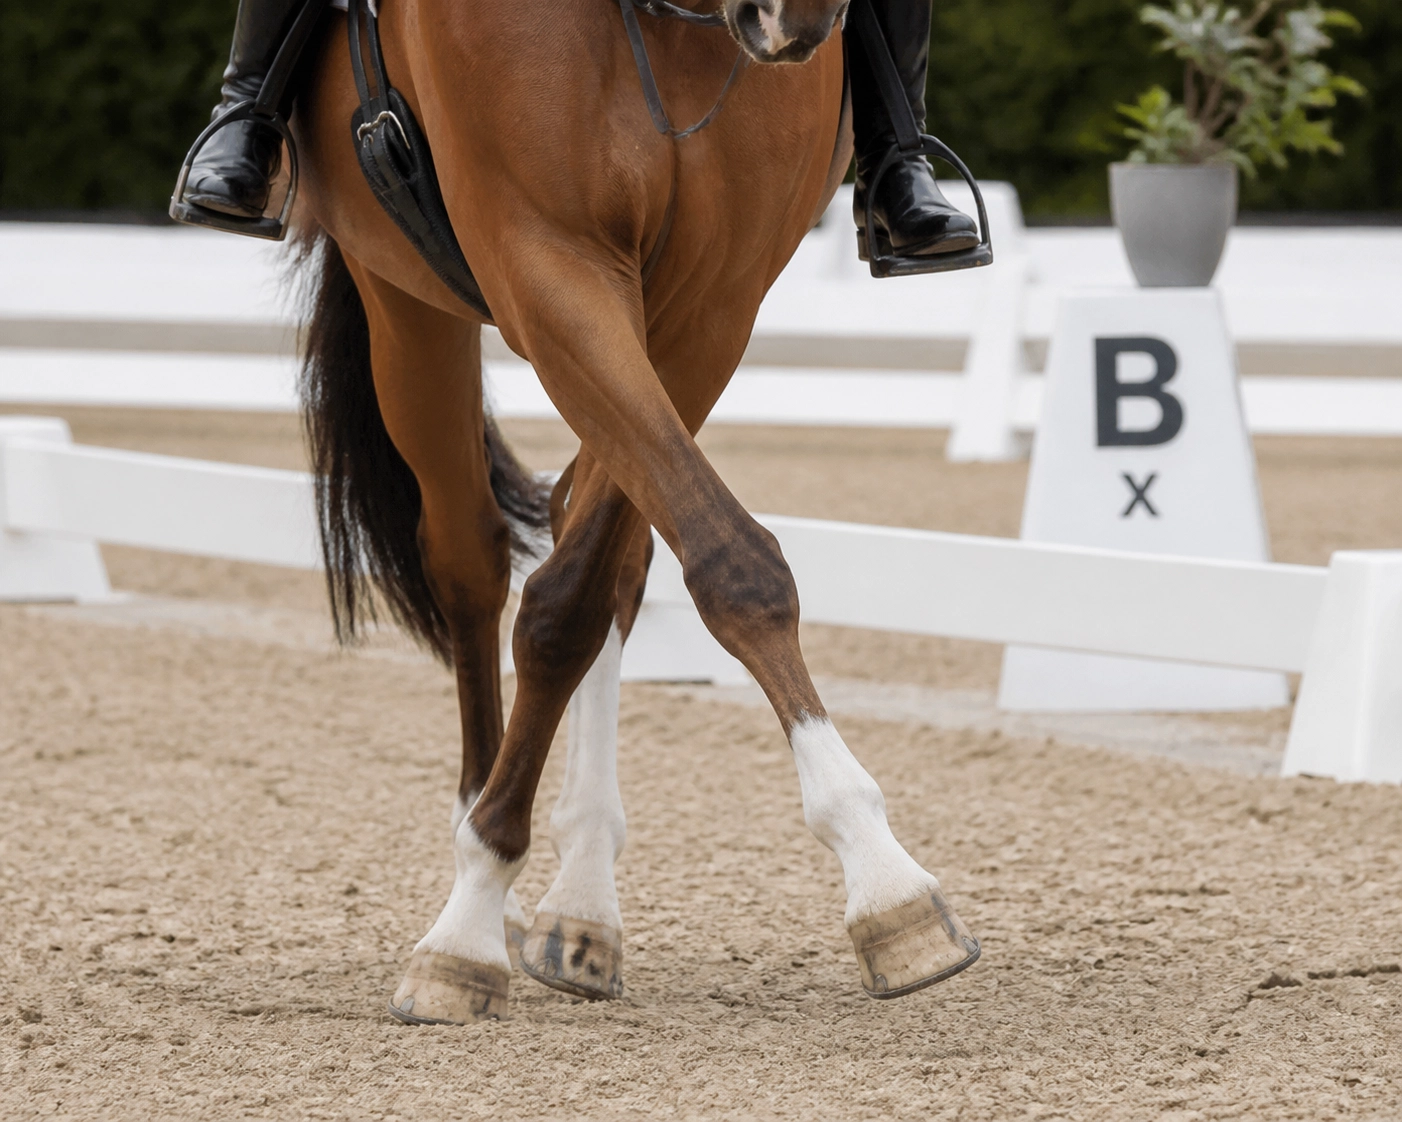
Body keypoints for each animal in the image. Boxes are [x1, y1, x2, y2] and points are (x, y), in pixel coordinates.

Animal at [290, 0, 980, 1023]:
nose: (797, 19)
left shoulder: (710, 300)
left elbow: (641, 578)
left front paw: (884, 882)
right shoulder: (546, 264)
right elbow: (583, 599)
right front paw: (468, 920)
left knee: (595, 538)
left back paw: (581, 905)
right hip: (404, 301)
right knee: (468, 560)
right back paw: (488, 856)